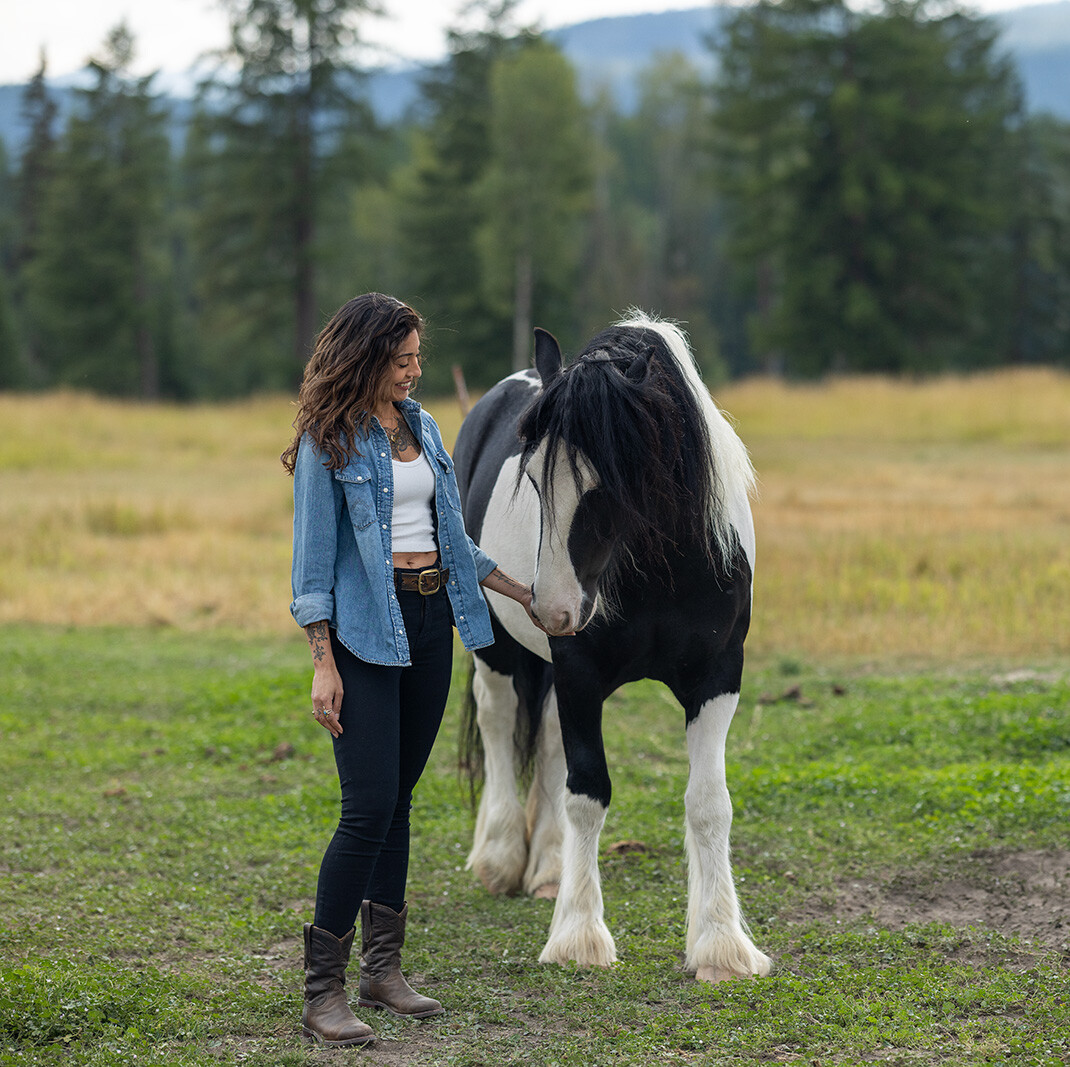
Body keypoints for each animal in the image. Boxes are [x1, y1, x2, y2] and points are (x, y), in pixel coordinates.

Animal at [451, 311, 772, 983]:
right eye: (532, 477)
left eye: (609, 486)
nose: (553, 610)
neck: (663, 572)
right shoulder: (580, 674)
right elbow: (587, 794)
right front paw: (578, 936)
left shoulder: (717, 678)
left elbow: (709, 802)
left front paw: (721, 944)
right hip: (496, 647)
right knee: (497, 721)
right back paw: (500, 857)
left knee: (546, 741)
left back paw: (547, 868)